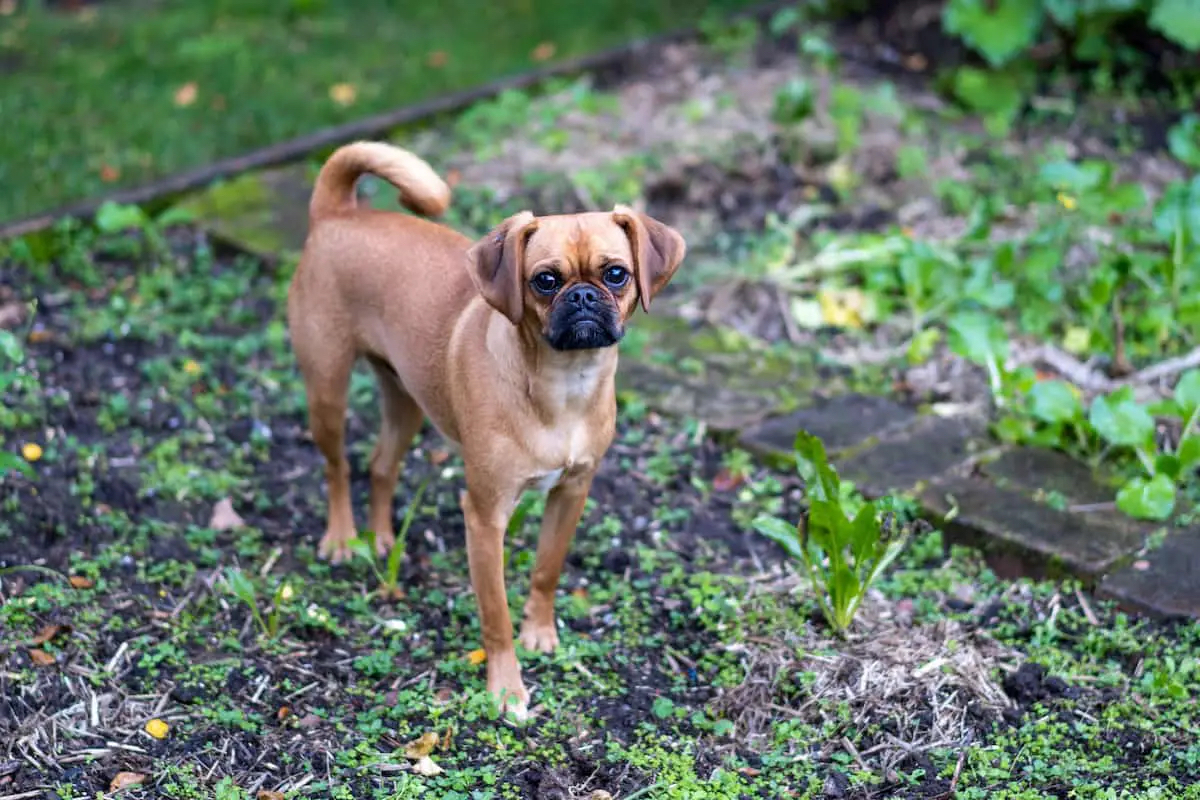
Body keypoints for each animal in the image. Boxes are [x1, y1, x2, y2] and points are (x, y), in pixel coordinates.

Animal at [285, 140, 691, 714]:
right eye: (545, 280)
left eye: (616, 274)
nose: (583, 297)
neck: (563, 387)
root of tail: (337, 212)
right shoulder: (485, 517)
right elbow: (494, 614)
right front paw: (505, 689)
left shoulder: (571, 493)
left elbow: (546, 571)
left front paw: (539, 633)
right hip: (326, 387)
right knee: (338, 465)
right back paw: (343, 539)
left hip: (406, 400)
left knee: (381, 464)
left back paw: (381, 537)